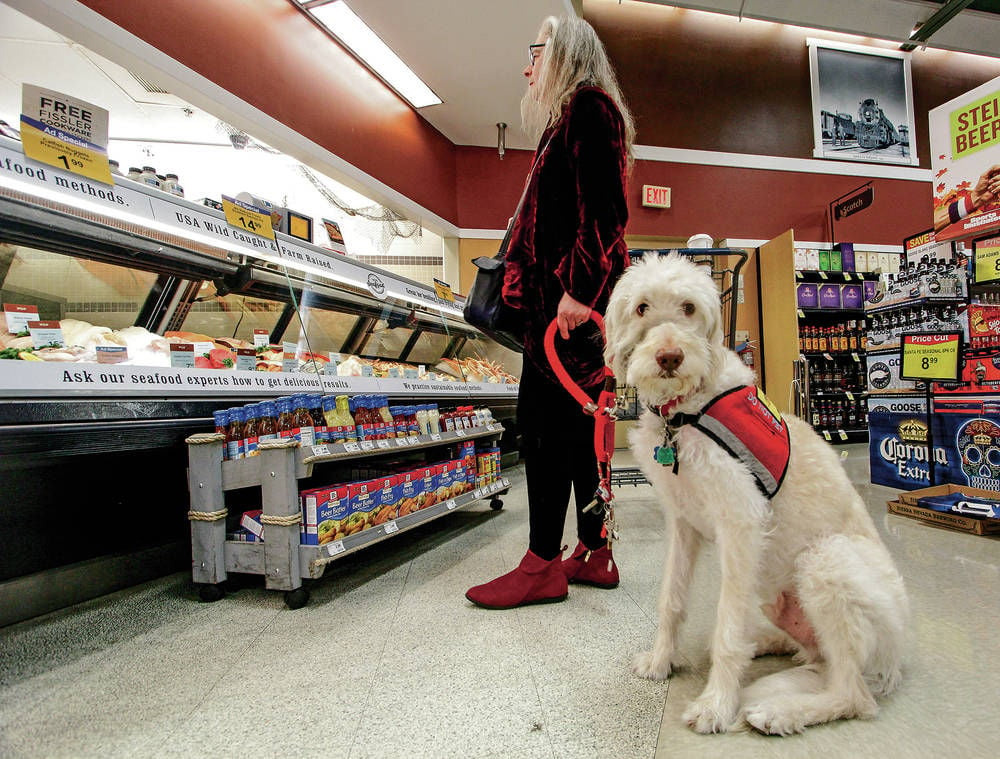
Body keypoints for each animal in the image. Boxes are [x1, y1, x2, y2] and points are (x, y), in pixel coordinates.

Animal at [604, 256, 912, 736]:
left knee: (853, 695)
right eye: (641, 307)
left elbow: (727, 626)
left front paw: (716, 705)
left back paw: (783, 711)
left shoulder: (741, 525)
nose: (669, 357)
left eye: (689, 307)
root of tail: (895, 662)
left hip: (826, 561)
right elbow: (671, 600)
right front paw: (660, 661)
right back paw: (768, 644)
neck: (686, 410)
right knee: (813, 654)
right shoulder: (683, 523)